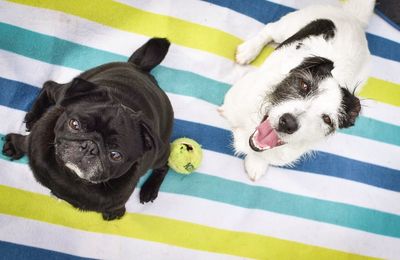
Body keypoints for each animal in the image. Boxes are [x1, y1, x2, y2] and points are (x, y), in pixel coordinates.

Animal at [220, 0, 374, 181]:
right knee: (269, 30)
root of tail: (354, 19)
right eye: (304, 85)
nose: (288, 122)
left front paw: (256, 164)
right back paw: (248, 50)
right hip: (287, 26)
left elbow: (261, 156)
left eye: (327, 119)